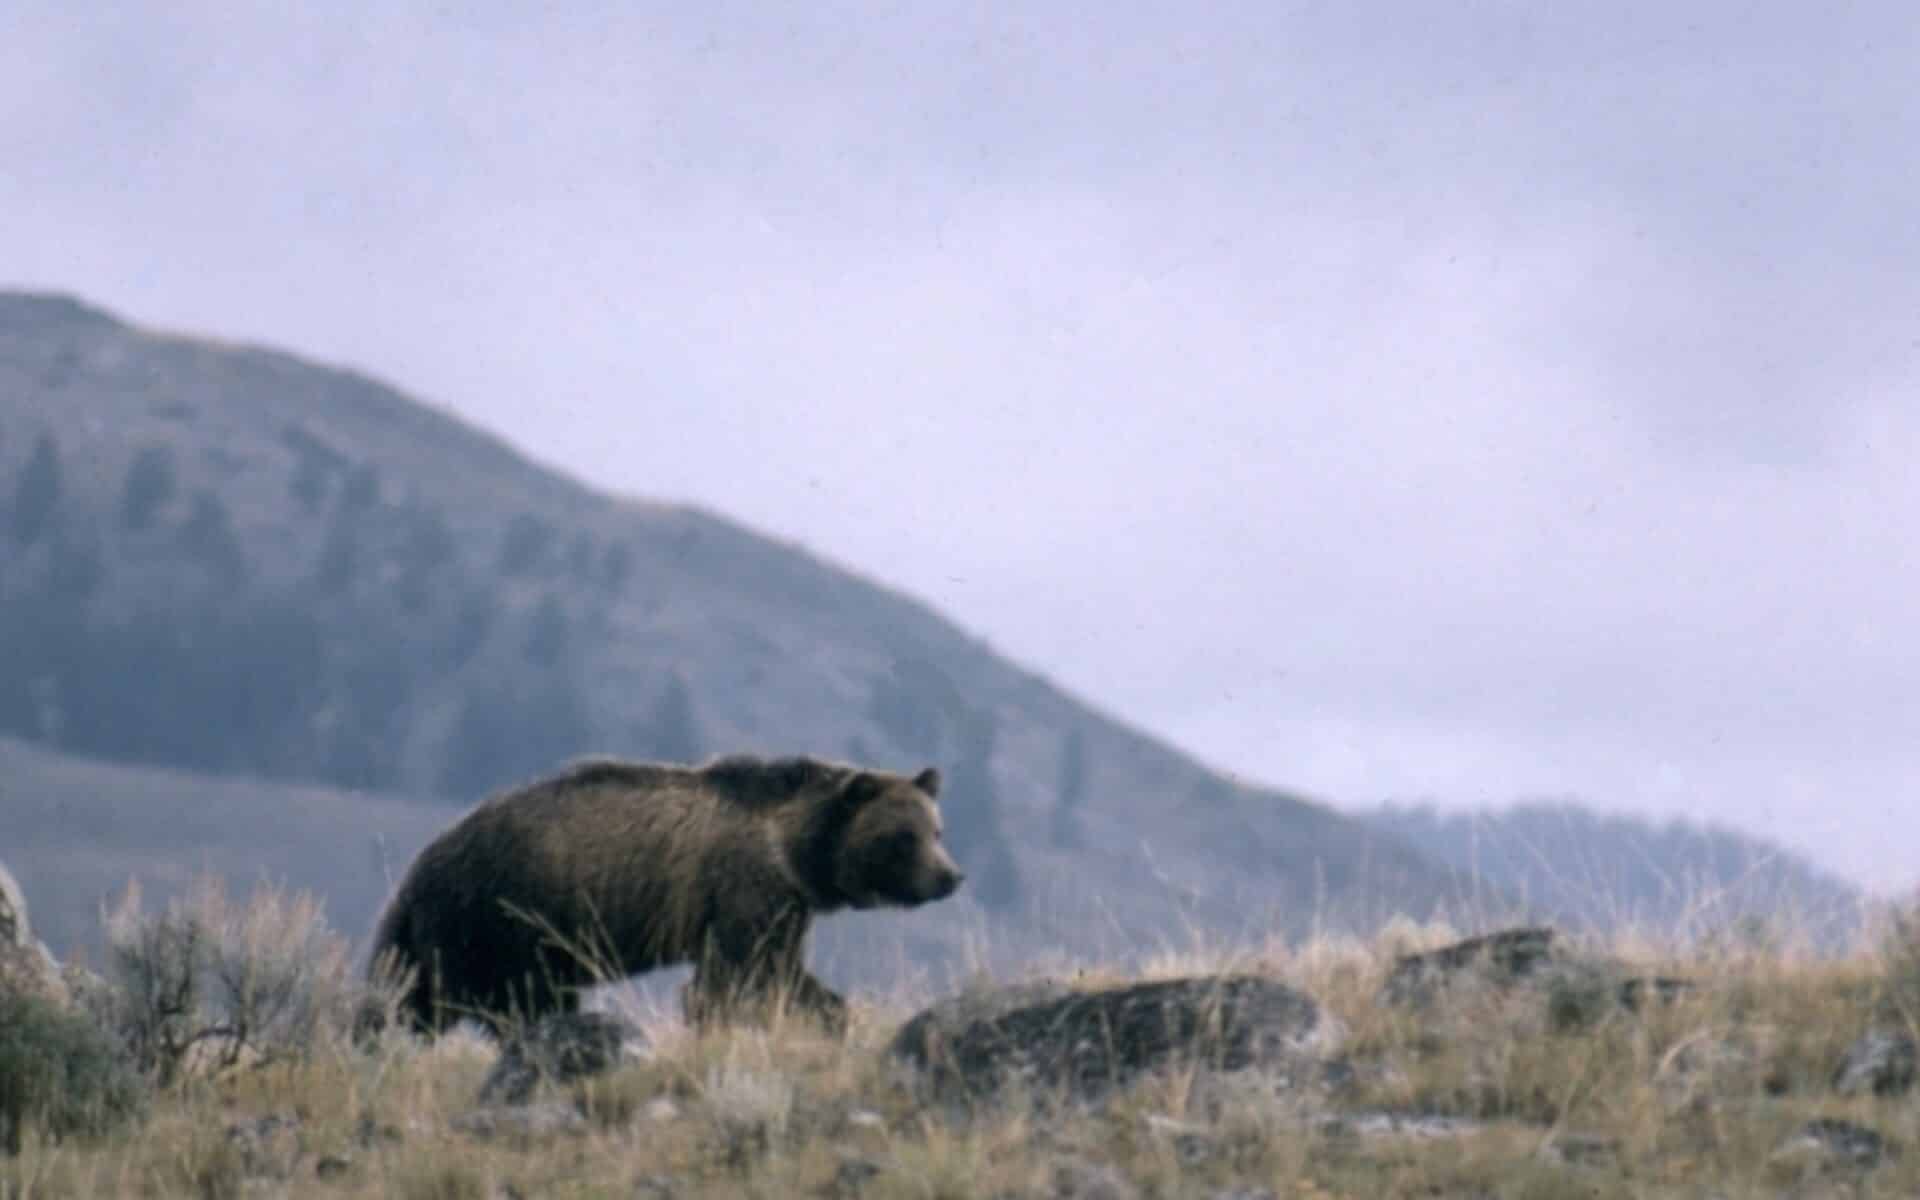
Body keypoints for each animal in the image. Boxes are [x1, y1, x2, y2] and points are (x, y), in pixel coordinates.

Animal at [367, 754, 964, 1037]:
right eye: (903, 836)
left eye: (937, 830)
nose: (950, 877)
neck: (796, 851)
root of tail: (422, 865)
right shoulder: (743, 890)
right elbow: (741, 974)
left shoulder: (784, 908)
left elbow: (779, 971)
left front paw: (831, 1013)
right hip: (500, 919)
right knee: (507, 1001)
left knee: (409, 997)